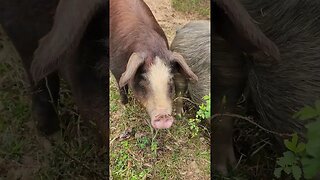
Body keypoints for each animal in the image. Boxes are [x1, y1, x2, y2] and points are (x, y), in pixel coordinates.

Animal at [110, 0, 198, 129]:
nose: (163, 116)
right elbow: (122, 86)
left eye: (170, 80)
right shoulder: (115, 68)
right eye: (144, 80)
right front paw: (125, 105)